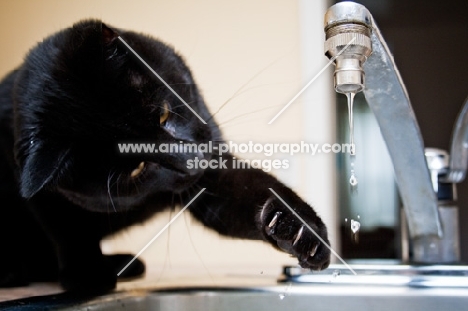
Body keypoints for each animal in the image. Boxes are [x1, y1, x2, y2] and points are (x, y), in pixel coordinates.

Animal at [0, 20, 330, 294]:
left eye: (163, 114)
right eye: (136, 169)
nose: (192, 162)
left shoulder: (212, 175)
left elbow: (253, 190)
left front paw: (300, 229)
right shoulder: (42, 195)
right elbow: (68, 230)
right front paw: (88, 275)